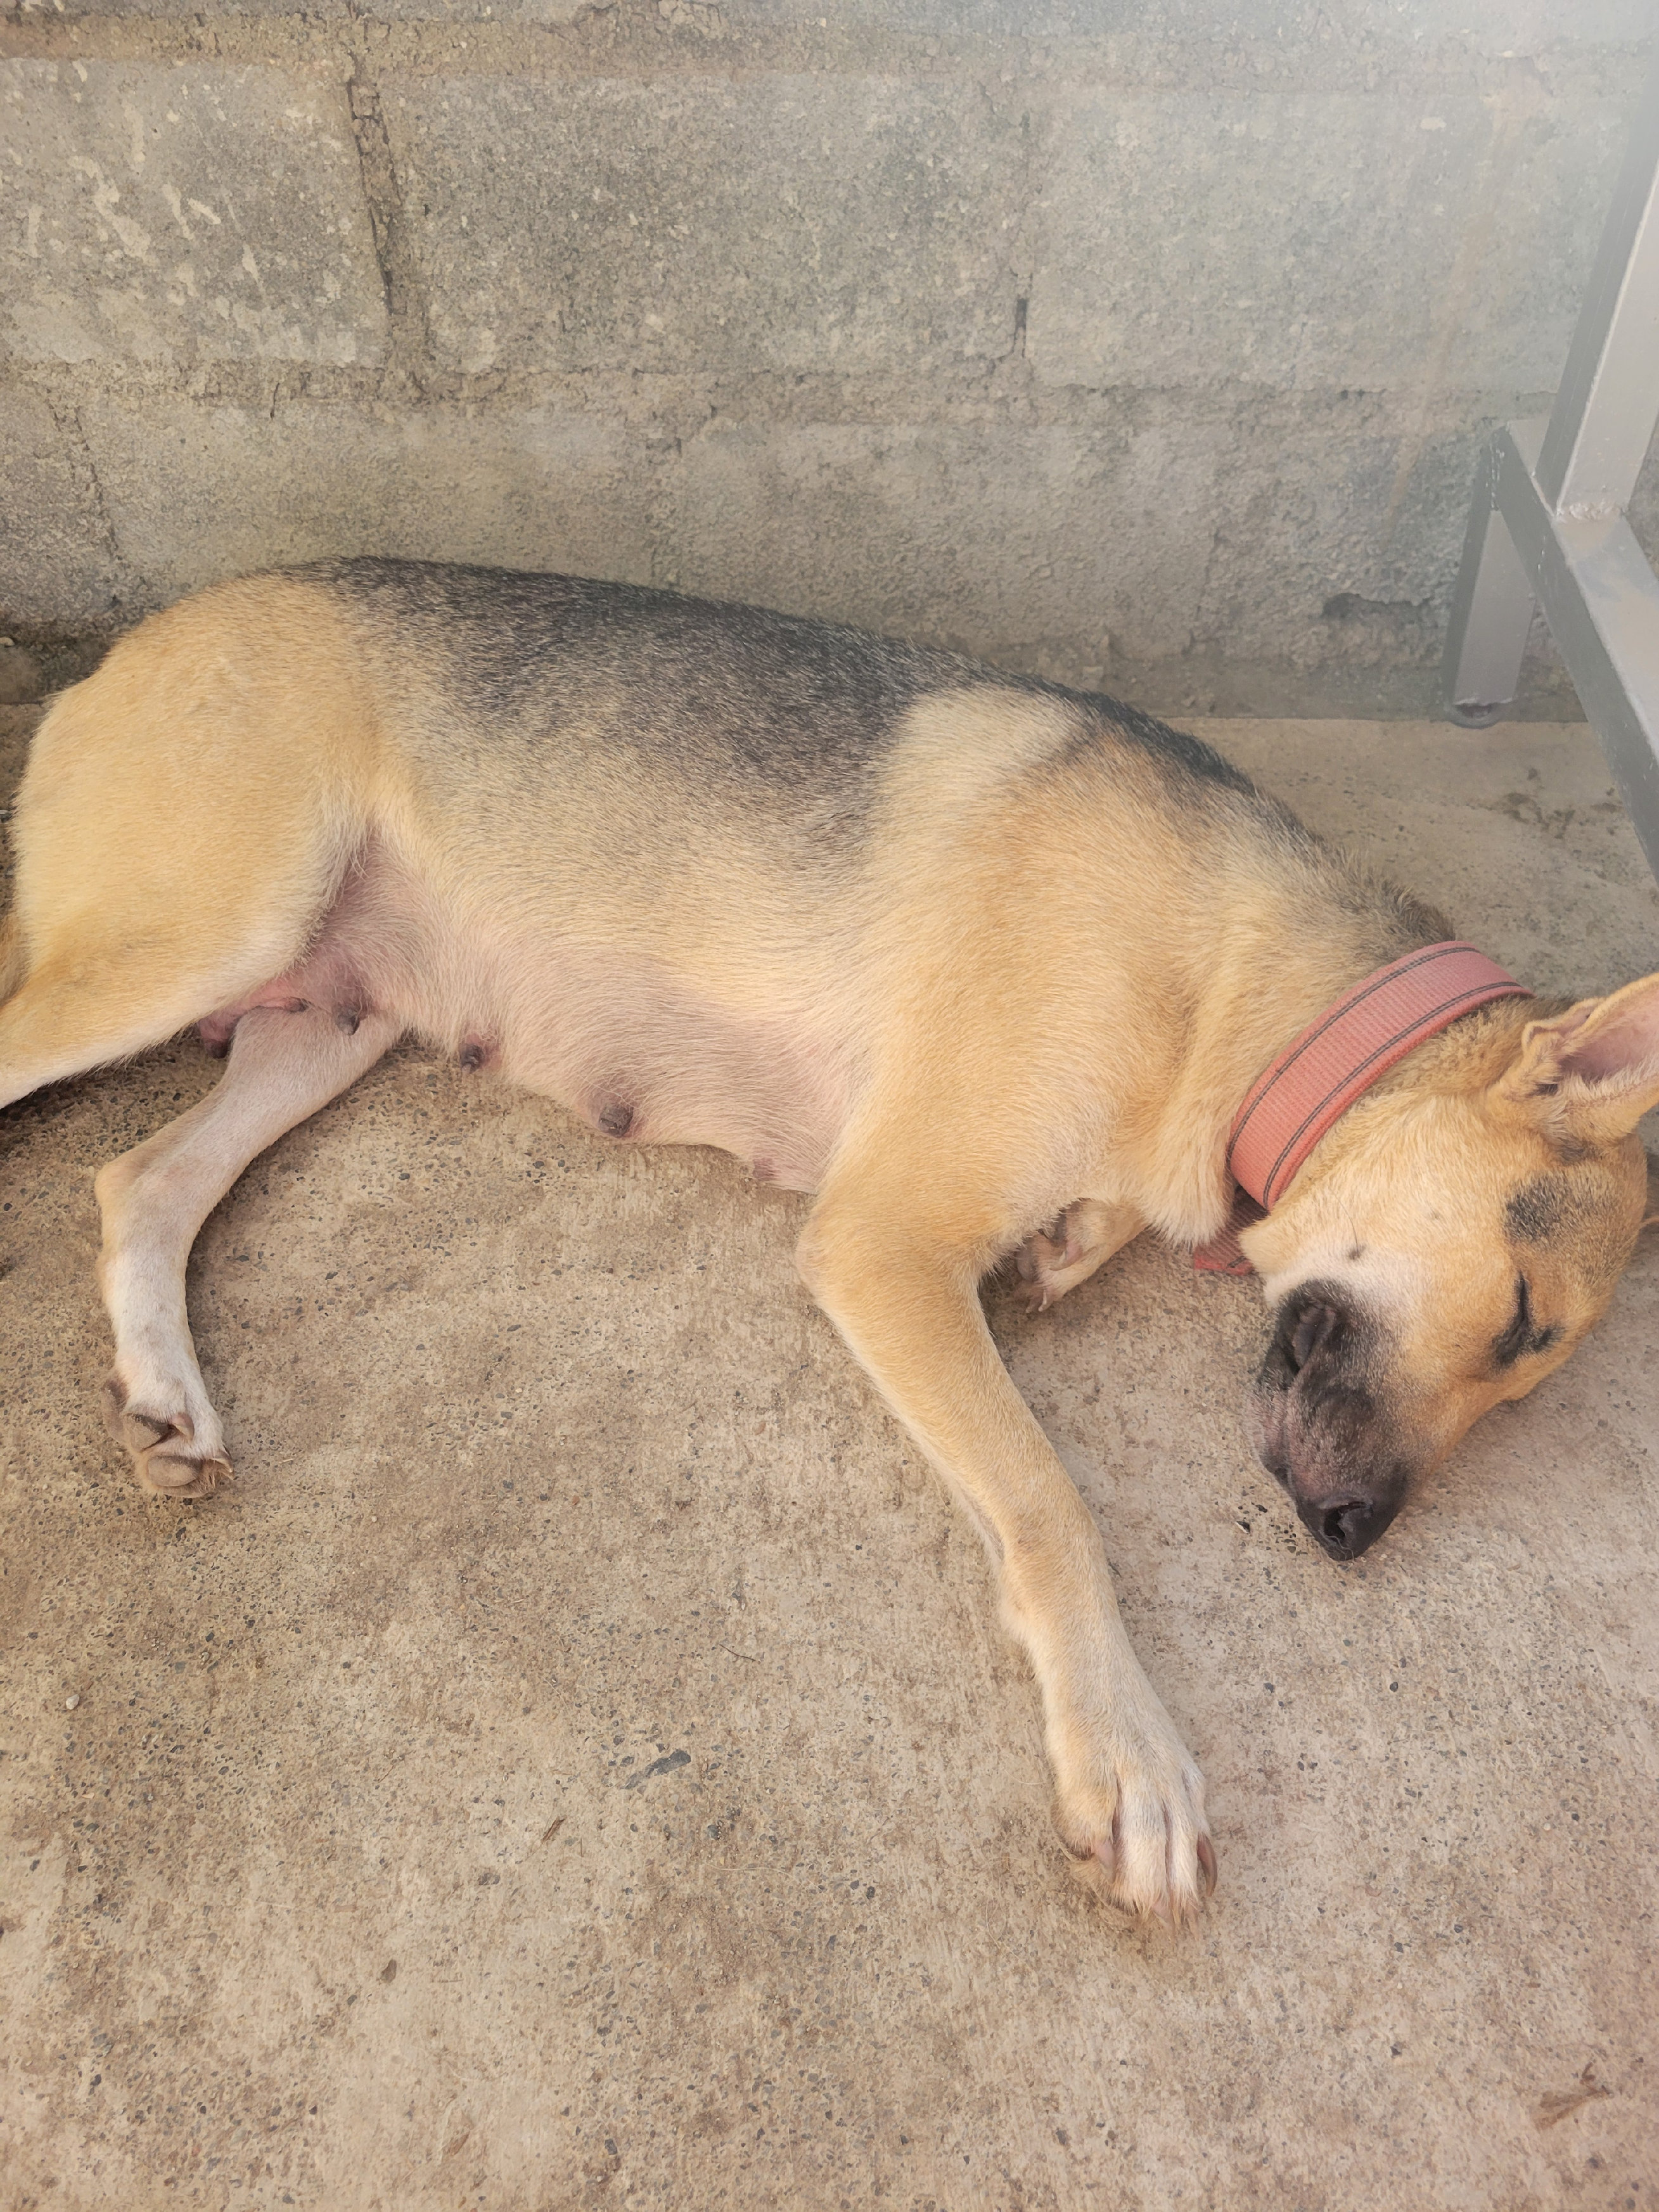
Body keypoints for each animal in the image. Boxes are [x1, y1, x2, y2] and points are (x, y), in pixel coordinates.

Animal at [3, 561, 1659, 1929]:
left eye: (1523, 1362)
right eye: (1519, 1315)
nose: (1353, 1533)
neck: (1254, 988)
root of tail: (130, 646)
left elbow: (1091, 1233)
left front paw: (1078, 1235)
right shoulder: (879, 1245)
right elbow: (1049, 1501)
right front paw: (1128, 1753)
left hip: (323, 1013)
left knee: (138, 1182)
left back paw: (165, 1394)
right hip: (201, 936)